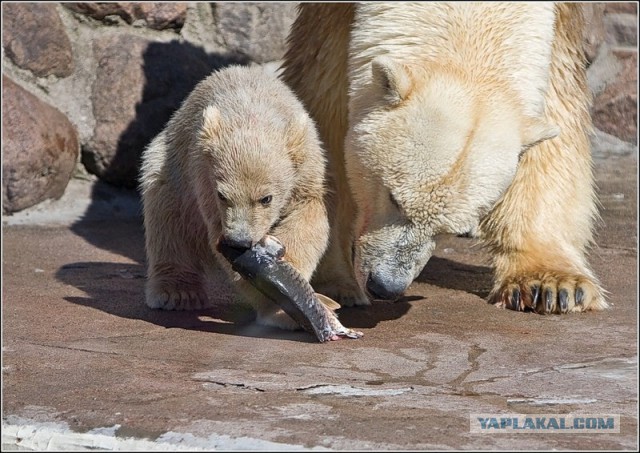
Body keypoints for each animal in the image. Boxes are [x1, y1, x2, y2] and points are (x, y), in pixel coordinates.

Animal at [282, 3, 608, 312]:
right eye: (393, 198)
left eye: (450, 228)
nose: (385, 286)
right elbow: (326, 98)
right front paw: (333, 282)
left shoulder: (562, 16)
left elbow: (557, 98)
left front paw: (552, 285)